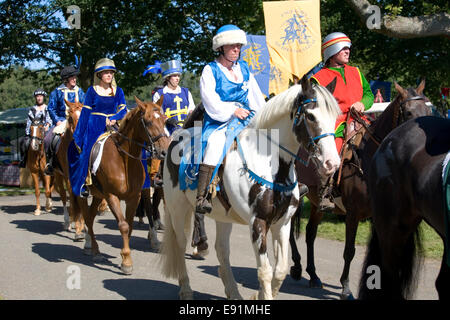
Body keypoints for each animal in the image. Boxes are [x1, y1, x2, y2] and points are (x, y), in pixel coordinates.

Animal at [76, 96, 170, 274]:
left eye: (164, 119)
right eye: (148, 121)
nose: (164, 151)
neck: (124, 160)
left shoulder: (134, 197)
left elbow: (130, 225)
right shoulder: (111, 196)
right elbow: (124, 226)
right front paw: (126, 261)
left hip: (98, 195)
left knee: (90, 217)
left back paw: (95, 249)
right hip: (80, 193)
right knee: (85, 215)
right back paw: (91, 246)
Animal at [160, 75, 340, 300]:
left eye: (334, 117)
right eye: (311, 116)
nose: (332, 163)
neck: (271, 164)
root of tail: (178, 136)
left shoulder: (282, 223)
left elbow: (280, 270)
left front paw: (259, 295)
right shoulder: (258, 223)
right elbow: (265, 271)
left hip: (222, 216)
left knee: (222, 250)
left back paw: (234, 293)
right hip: (177, 208)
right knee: (180, 243)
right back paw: (186, 289)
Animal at [288, 80, 432, 300]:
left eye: (428, 109)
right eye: (408, 112)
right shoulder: (353, 213)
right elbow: (349, 250)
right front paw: (346, 287)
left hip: (316, 204)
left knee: (310, 233)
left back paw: (313, 275)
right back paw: (296, 267)